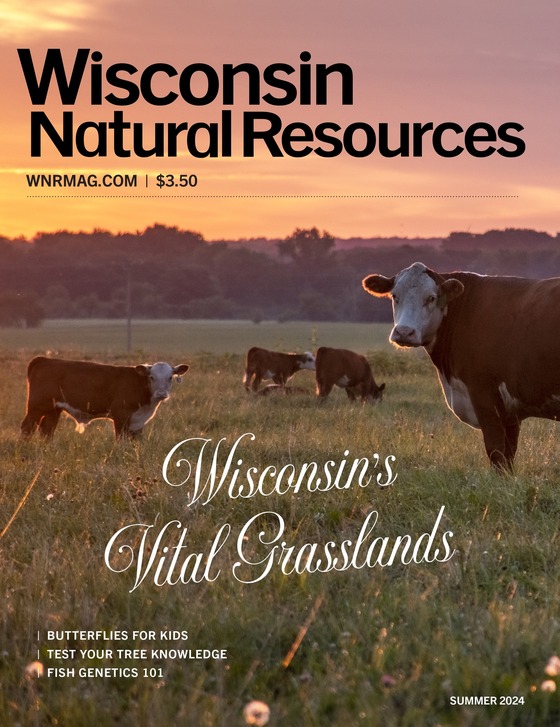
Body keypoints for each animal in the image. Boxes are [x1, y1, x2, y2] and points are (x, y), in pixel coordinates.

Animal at [21, 356, 190, 440]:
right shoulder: (121, 416)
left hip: (54, 409)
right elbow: (120, 440)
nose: (161, 394)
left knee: (47, 430)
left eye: (170, 377)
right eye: (152, 377)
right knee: (27, 427)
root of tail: (44, 359)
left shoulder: (137, 421)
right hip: (36, 407)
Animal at [360, 264, 560, 472]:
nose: (404, 332)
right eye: (394, 296)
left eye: (431, 298)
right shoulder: (511, 412)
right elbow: (508, 457)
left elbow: (496, 453)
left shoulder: (484, 398)